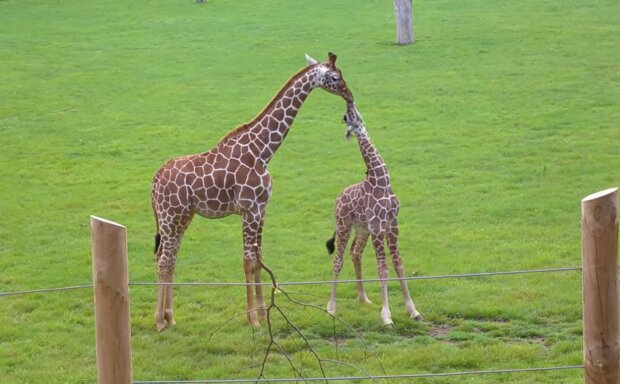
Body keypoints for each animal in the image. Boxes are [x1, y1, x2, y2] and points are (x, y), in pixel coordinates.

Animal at [151, 52, 354, 332]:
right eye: (335, 77)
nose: (350, 95)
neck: (263, 151)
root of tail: (154, 181)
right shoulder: (249, 209)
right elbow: (248, 262)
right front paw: (254, 319)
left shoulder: (261, 209)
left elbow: (259, 260)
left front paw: (263, 312)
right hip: (170, 216)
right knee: (163, 259)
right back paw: (159, 321)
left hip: (182, 217)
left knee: (170, 258)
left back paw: (170, 317)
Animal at [324, 102, 422, 324]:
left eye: (356, 116)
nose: (346, 114)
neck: (381, 180)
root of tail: (337, 199)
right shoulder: (378, 226)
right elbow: (382, 268)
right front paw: (386, 317)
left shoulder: (392, 224)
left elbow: (398, 265)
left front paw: (413, 311)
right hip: (344, 225)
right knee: (337, 261)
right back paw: (331, 308)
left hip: (362, 229)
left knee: (355, 252)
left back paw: (363, 299)